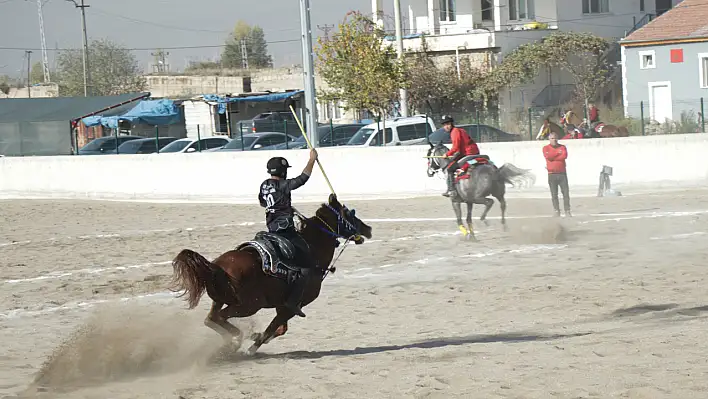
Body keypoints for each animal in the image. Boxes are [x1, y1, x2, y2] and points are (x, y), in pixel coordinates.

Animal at [169, 195, 374, 354]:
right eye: (349, 213)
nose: (368, 229)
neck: (312, 250)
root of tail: (216, 266)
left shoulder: (282, 306)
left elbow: (279, 329)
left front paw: (256, 336)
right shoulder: (290, 307)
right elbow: (274, 329)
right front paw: (253, 346)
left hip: (222, 300)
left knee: (211, 319)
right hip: (249, 305)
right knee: (219, 318)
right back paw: (237, 341)